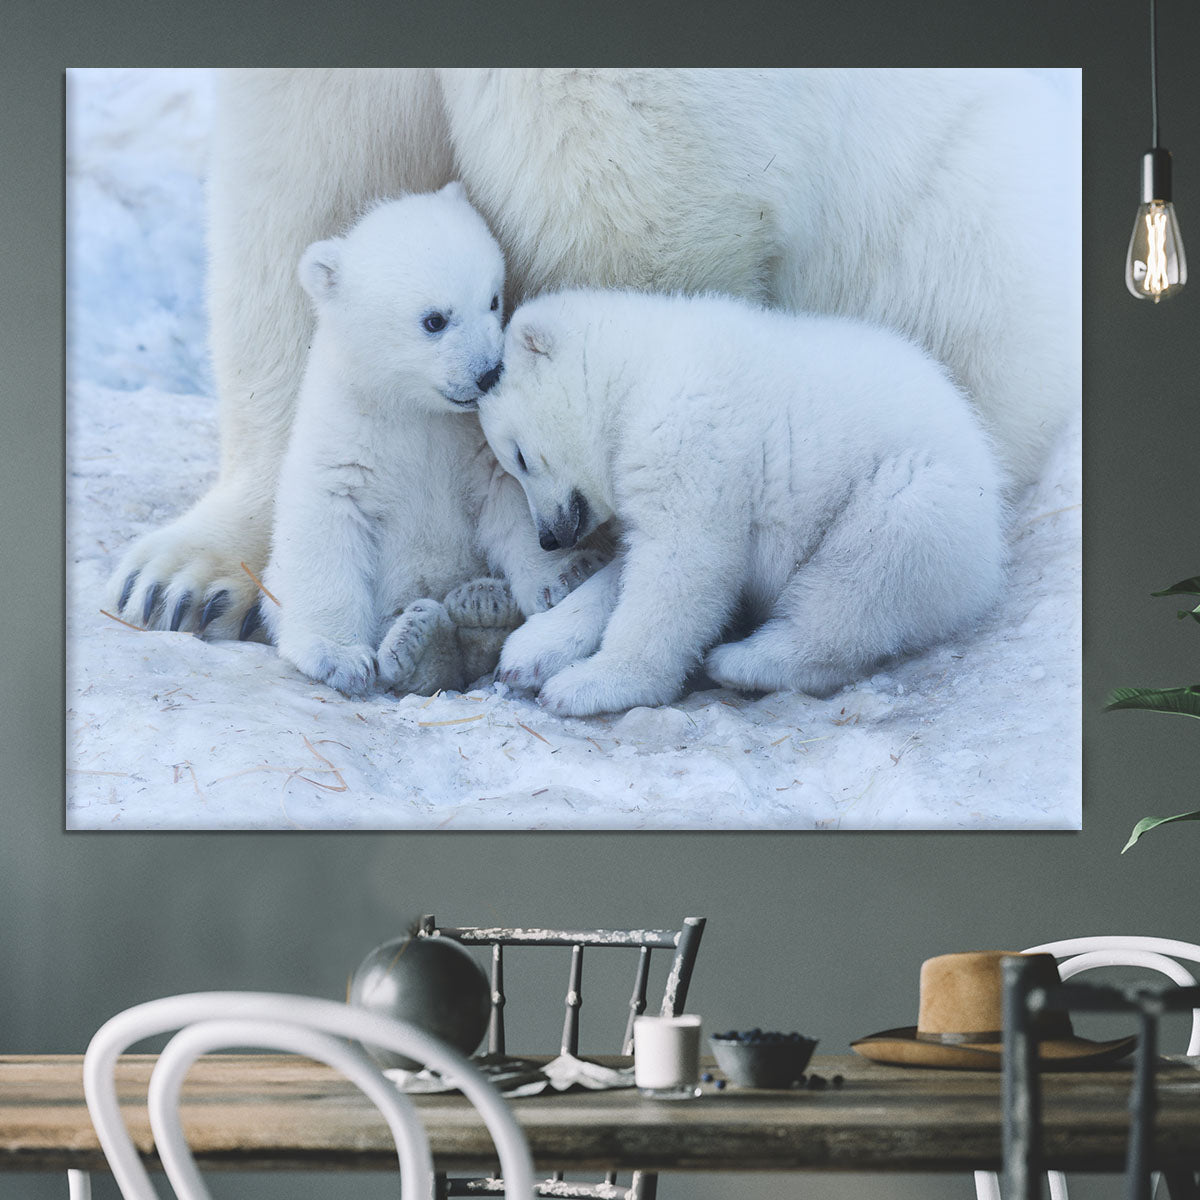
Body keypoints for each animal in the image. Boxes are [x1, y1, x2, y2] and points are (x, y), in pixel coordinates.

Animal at [257, 185, 603, 696]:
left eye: (493, 299)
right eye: (434, 320)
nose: (488, 373)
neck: (414, 410)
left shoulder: (472, 444)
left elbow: (511, 500)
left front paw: (564, 575)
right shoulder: (343, 441)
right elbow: (324, 525)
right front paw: (337, 657)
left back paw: (482, 607)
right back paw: (421, 643)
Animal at [478, 289, 1008, 718]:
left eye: (519, 457)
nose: (549, 538)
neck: (641, 369)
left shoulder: (689, 436)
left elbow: (682, 565)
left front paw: (589, 682)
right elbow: (630, 564)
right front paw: (532, 647)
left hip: (918, 498)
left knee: (859, 579)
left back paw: (743, 660)